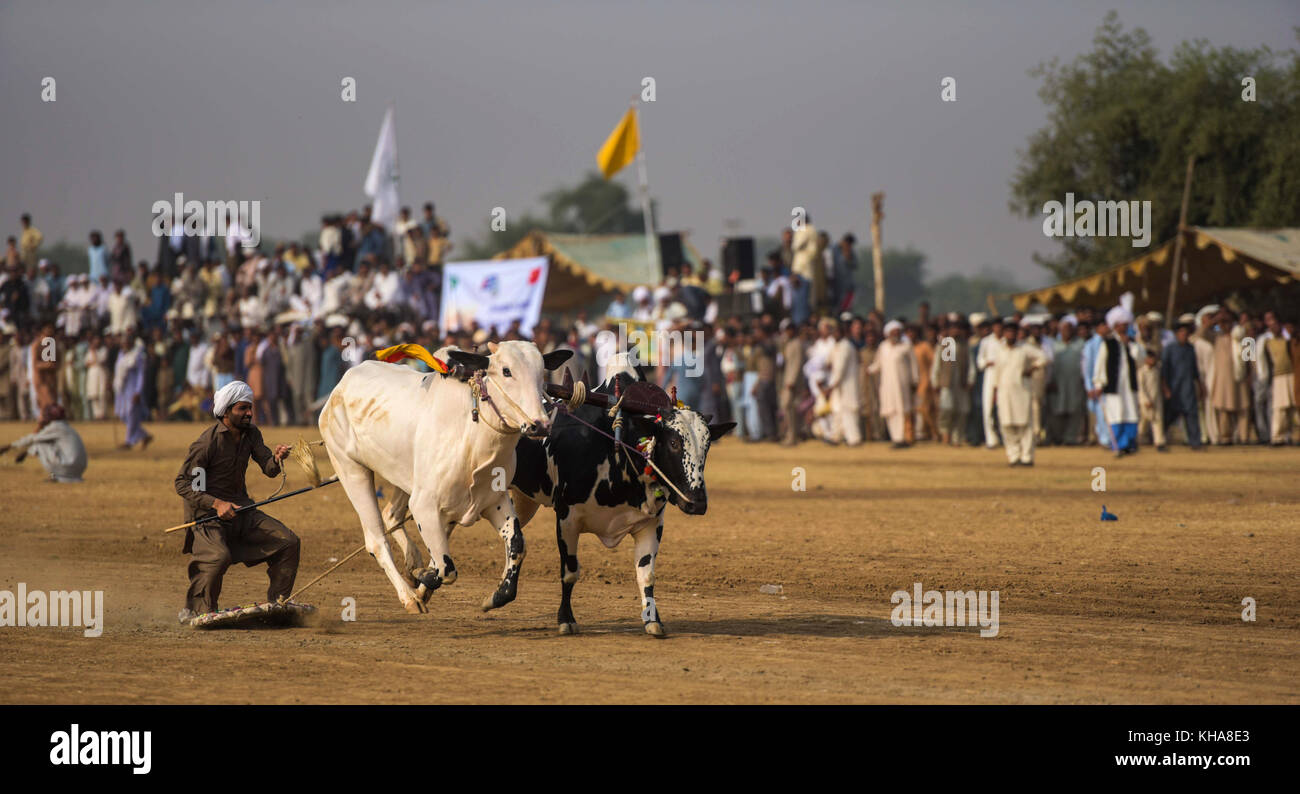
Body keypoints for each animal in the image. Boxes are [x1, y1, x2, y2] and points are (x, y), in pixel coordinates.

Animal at [318, 340, 569, 615]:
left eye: (542, 371)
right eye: (506, 371)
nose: (540, 424)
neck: (472, 437)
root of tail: (342, 385)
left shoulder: (495, 500)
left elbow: (517, 545)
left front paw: (497, 595)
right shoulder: (424, 506)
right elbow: (446, 570)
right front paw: (423, 576)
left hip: (403, 479)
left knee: (391, 515)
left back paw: (412, 561)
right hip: (351, 469)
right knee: (376, 540)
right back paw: (409, 597)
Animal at [506, 371, 733, 639]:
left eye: (706, 446)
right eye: (674, 443)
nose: (697, 503)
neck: (617, 449)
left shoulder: (651, 524)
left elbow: (646, 576)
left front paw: (653, 620)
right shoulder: (566, 518)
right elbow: (570, 572)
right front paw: (566, 619)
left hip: (524, 499)